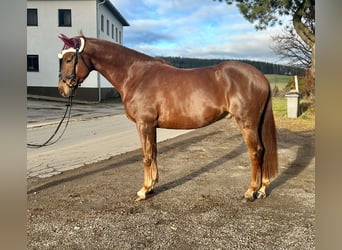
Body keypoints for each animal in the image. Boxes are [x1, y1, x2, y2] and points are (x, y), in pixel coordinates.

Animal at [58, 33, 278, 201]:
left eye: (69, 59)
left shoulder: (144, 124)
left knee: (256, 152)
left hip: (247, 123)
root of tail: (260, 77)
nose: (62, 89)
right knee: (264, 150)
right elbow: (153, 153)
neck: (136, 75)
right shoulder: (151, 126)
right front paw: (152, 187)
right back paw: (262, 189)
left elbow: (146, 156)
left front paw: (143, 191)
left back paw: (250, 192)